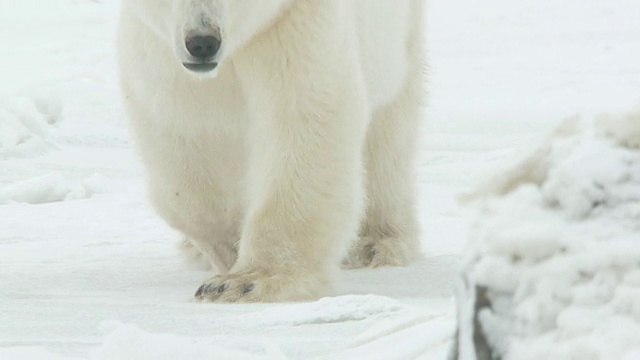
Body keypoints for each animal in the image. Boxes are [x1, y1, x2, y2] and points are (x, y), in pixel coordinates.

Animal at [116, 0, 424, 302]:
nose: (203, 43)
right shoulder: (163, 56)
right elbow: (186, 134)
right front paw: (229, 244)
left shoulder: (294, 26)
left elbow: (303, 121)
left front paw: (244, 281)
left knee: (389, 129)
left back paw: (373, 243)